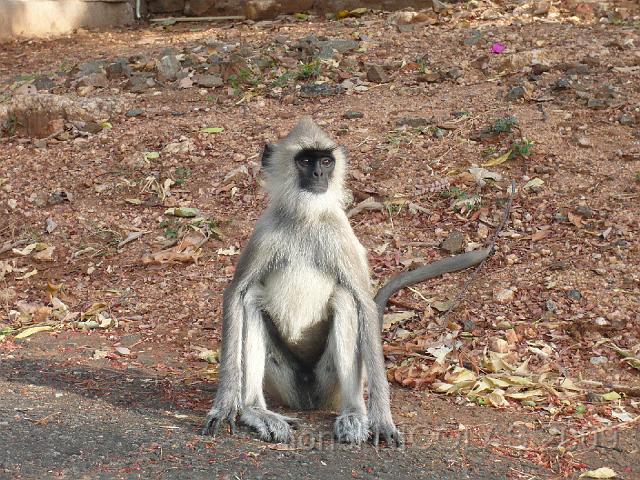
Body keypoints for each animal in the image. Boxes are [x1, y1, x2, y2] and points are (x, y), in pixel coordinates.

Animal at [202, 117, 491, 446]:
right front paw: (224, 406)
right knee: (251, 299)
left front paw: (383, 420)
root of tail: (308, 400)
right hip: (283, 380)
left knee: (344, 300)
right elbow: (235, 295)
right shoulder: (264, 233)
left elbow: (363, 303)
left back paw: (354, 414)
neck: (306, 219)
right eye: (305, 161)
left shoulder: (340, 234)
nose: (319, 174)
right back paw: (255, 411)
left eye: (326, 161)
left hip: (330, 383)